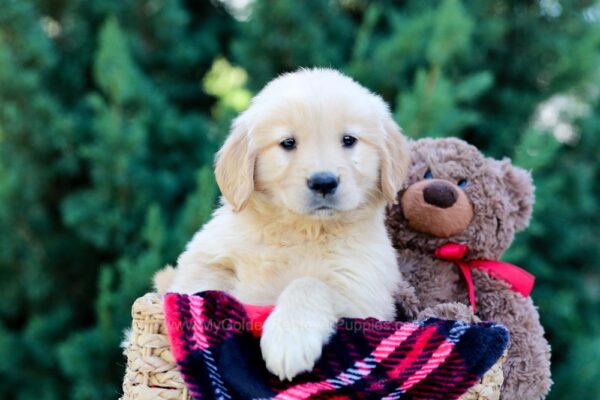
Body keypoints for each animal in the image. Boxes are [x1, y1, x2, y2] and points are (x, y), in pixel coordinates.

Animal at [162, 69, 410, 382]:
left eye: (349, 140)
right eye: (288, 143)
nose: (324, 182)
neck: (303, 230)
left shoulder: (365, 297)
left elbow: (310, 283)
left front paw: (288, 341)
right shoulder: (207, 256)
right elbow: (200, 286)